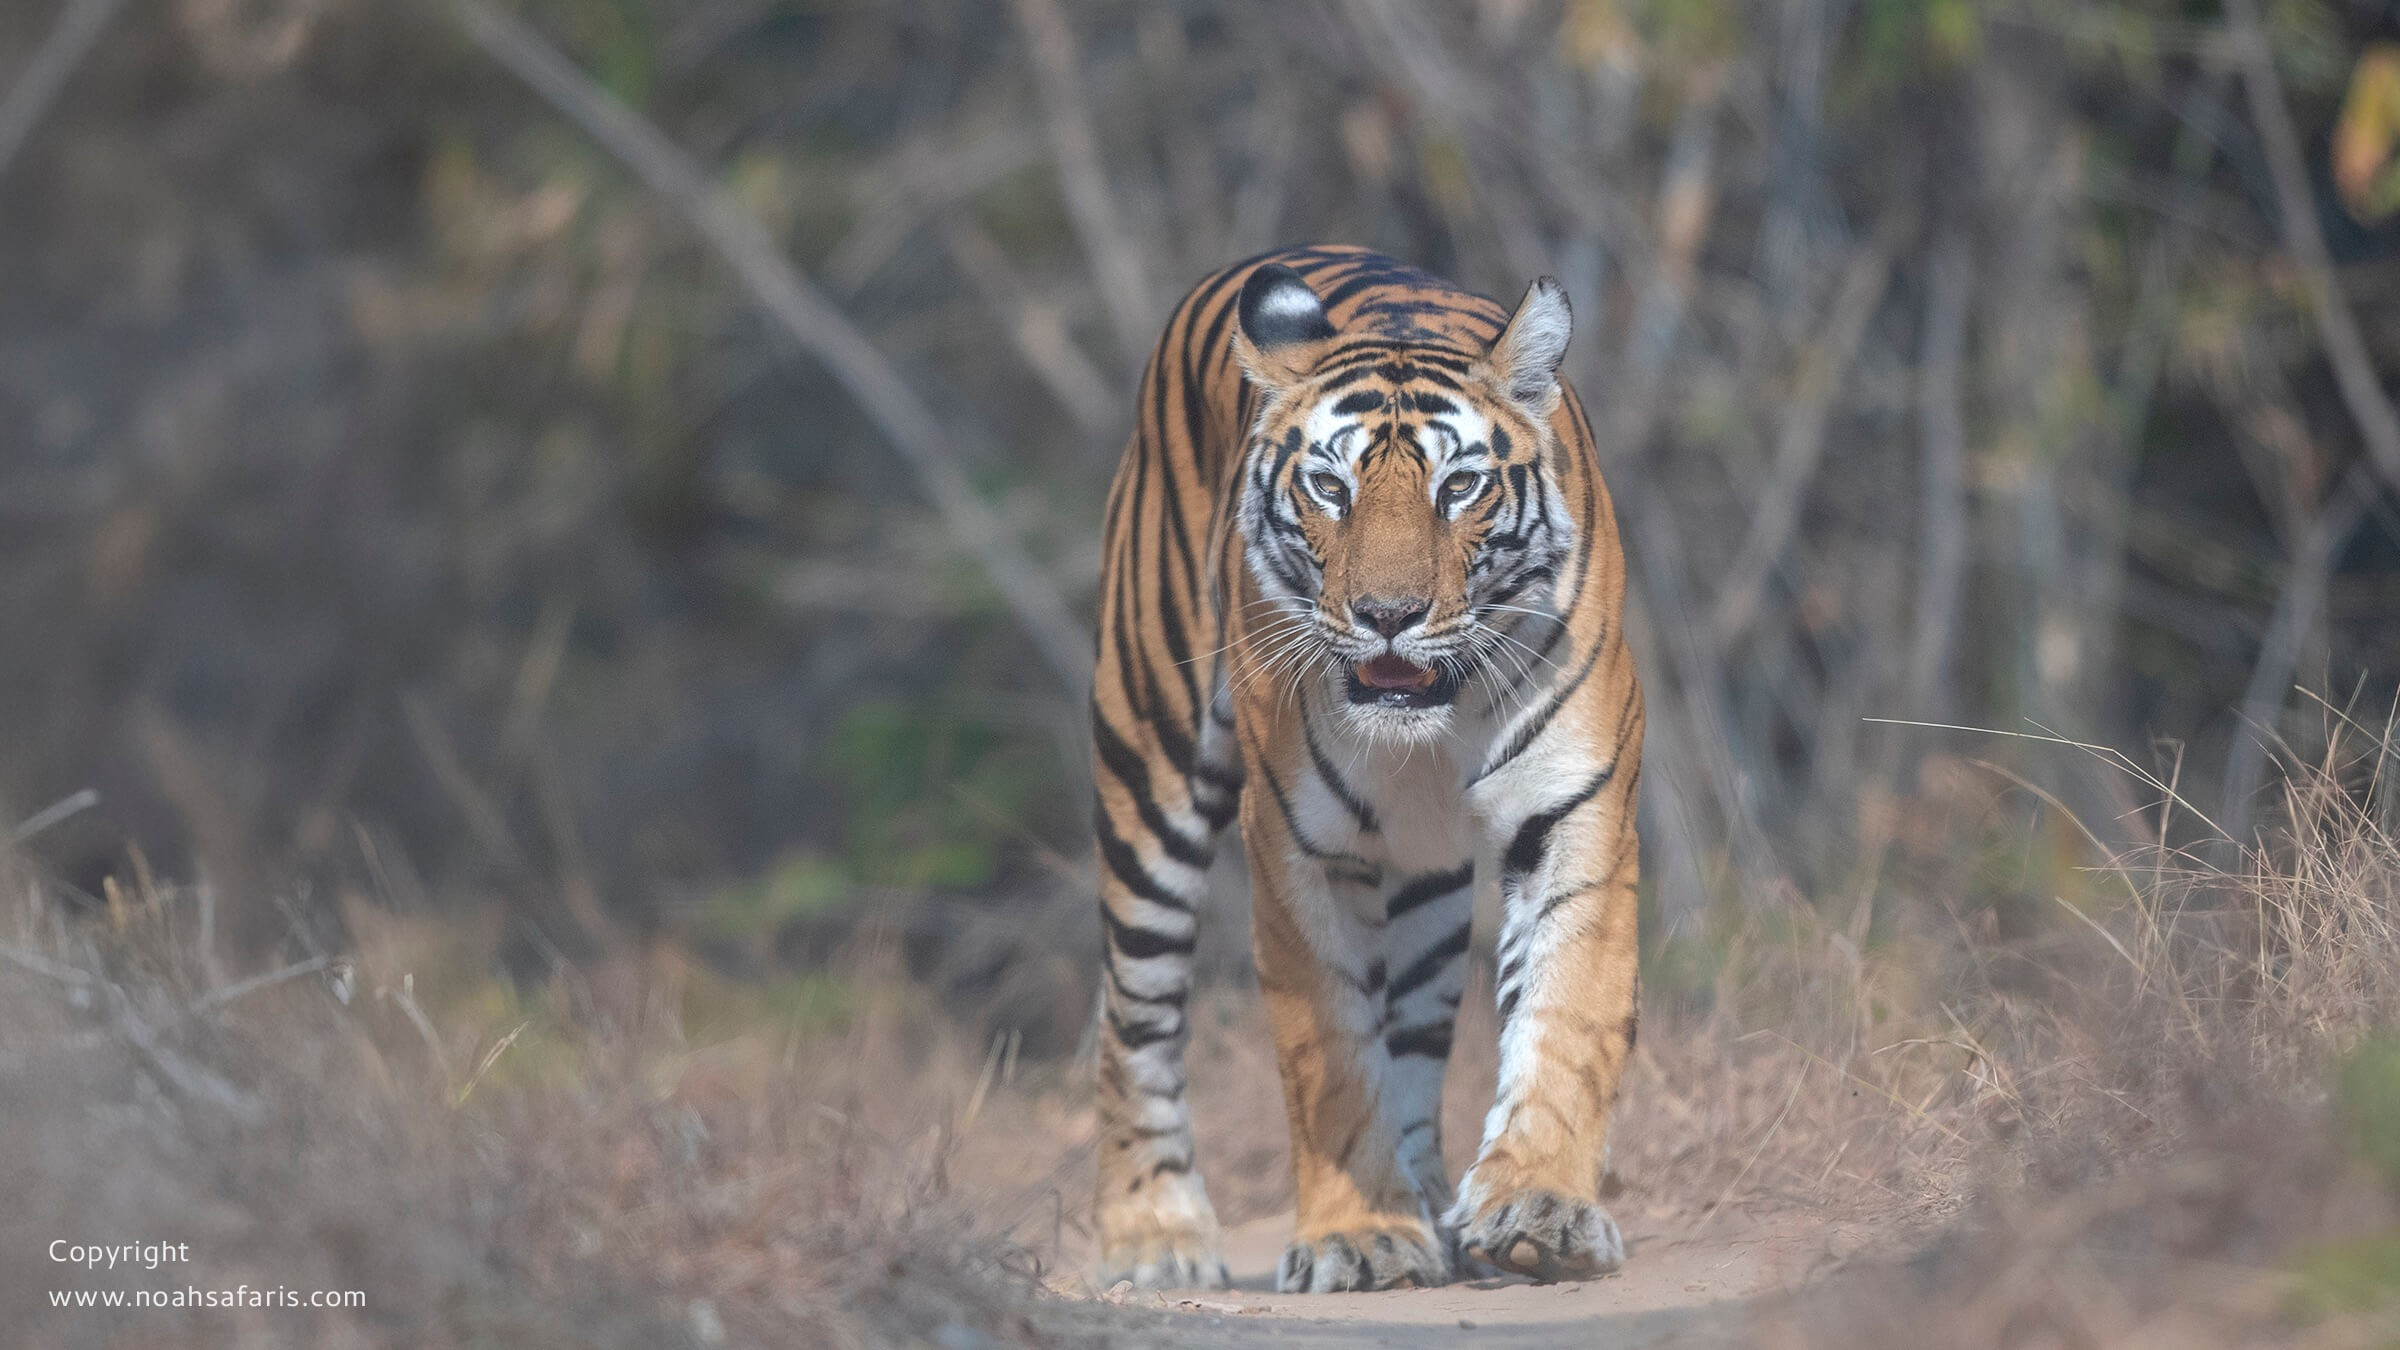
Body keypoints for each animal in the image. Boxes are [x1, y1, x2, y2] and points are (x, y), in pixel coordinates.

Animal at [1089, 245, 1644, 1293]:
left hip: (1424, 878)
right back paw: (1151, 1234)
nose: (1389, 614)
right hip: (1149, 764)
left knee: (1416, 1030)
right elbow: (1332, 1053)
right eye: (1330, 489)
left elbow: (1568, 1015)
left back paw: (1432, 1201)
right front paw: (1360, 1236)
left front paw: (1537, 1210)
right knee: (1135, 1010)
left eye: (1459, 488)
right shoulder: (1297, 847)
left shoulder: (1575, 810)